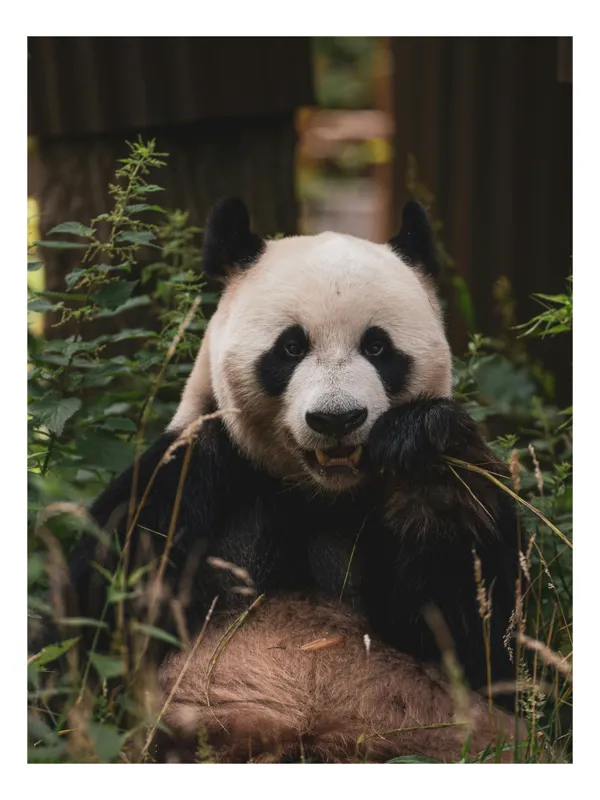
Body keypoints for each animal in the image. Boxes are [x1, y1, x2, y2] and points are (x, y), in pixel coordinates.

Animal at [68, 197, 521, 761]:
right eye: (290, 348)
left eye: (377, 347)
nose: (336, 419)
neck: (319, 493)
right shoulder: (194, 476)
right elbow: (99, 611)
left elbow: (477, 636)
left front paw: (421, 446)